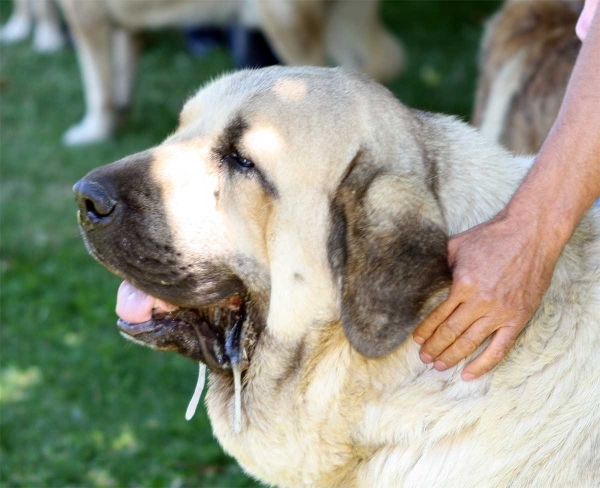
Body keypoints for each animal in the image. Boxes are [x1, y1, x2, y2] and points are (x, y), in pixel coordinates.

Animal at [59, 0, 404, 147]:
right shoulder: (127, 28)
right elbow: (121, 80)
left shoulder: (86, 17)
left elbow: (98, 87)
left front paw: (94, 131)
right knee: (384, 59)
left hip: (284, 21)